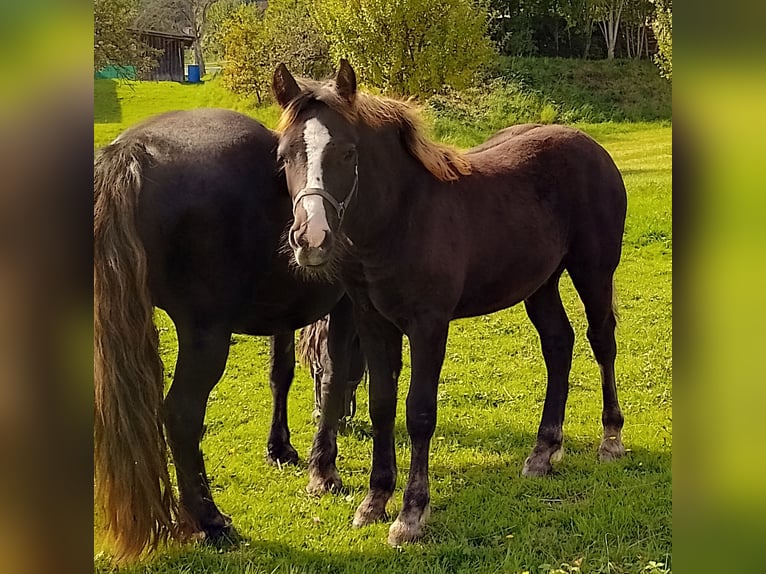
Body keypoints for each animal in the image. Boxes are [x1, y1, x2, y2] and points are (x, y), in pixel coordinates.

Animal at [94, 108, 363, 561]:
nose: (346, 421)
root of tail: (132, 150)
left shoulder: (282, 317)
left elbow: (280, 375)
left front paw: (281, 448)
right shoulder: (344, 306)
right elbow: (334, 372)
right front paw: (324, 470)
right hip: (206, 337)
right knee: (181, 415)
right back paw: (210, 521)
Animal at [271, 60, 628, 546]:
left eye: (346, 152)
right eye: (285, 154)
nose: (311, 238)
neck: (402, 217)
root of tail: (592, 147)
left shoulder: (429, 325)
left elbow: (419, 412)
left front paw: (410, 515)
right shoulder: (373, 321)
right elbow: (382, 404)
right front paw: (374, 500)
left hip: (593, 271)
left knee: (601, 340)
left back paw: (610, 439)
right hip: (541, 284)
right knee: (559, 344)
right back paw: (543, 450)